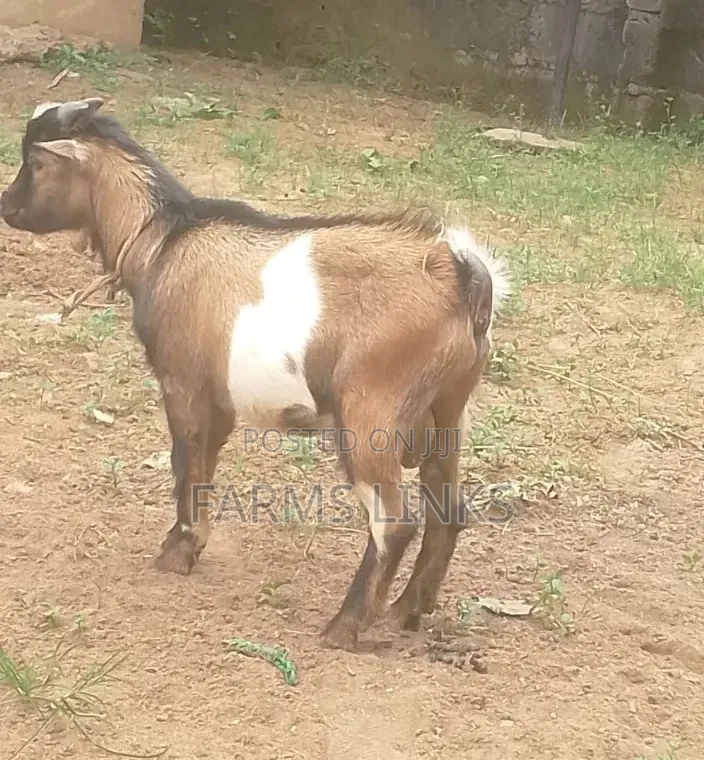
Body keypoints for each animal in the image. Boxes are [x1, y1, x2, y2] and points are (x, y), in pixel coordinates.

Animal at [0, 96, 510, 650]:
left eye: (37, 162)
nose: (6, 207)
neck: (162, 240)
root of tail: (463, 276)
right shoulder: (219, 395)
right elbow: (206, 462)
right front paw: (191, 546)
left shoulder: (182, 379)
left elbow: (186, 462)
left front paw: (174, 556)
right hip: (446, 409)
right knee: (449, 511)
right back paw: (403, 612)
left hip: (371, 412)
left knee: (394, 523)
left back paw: (343, 627)